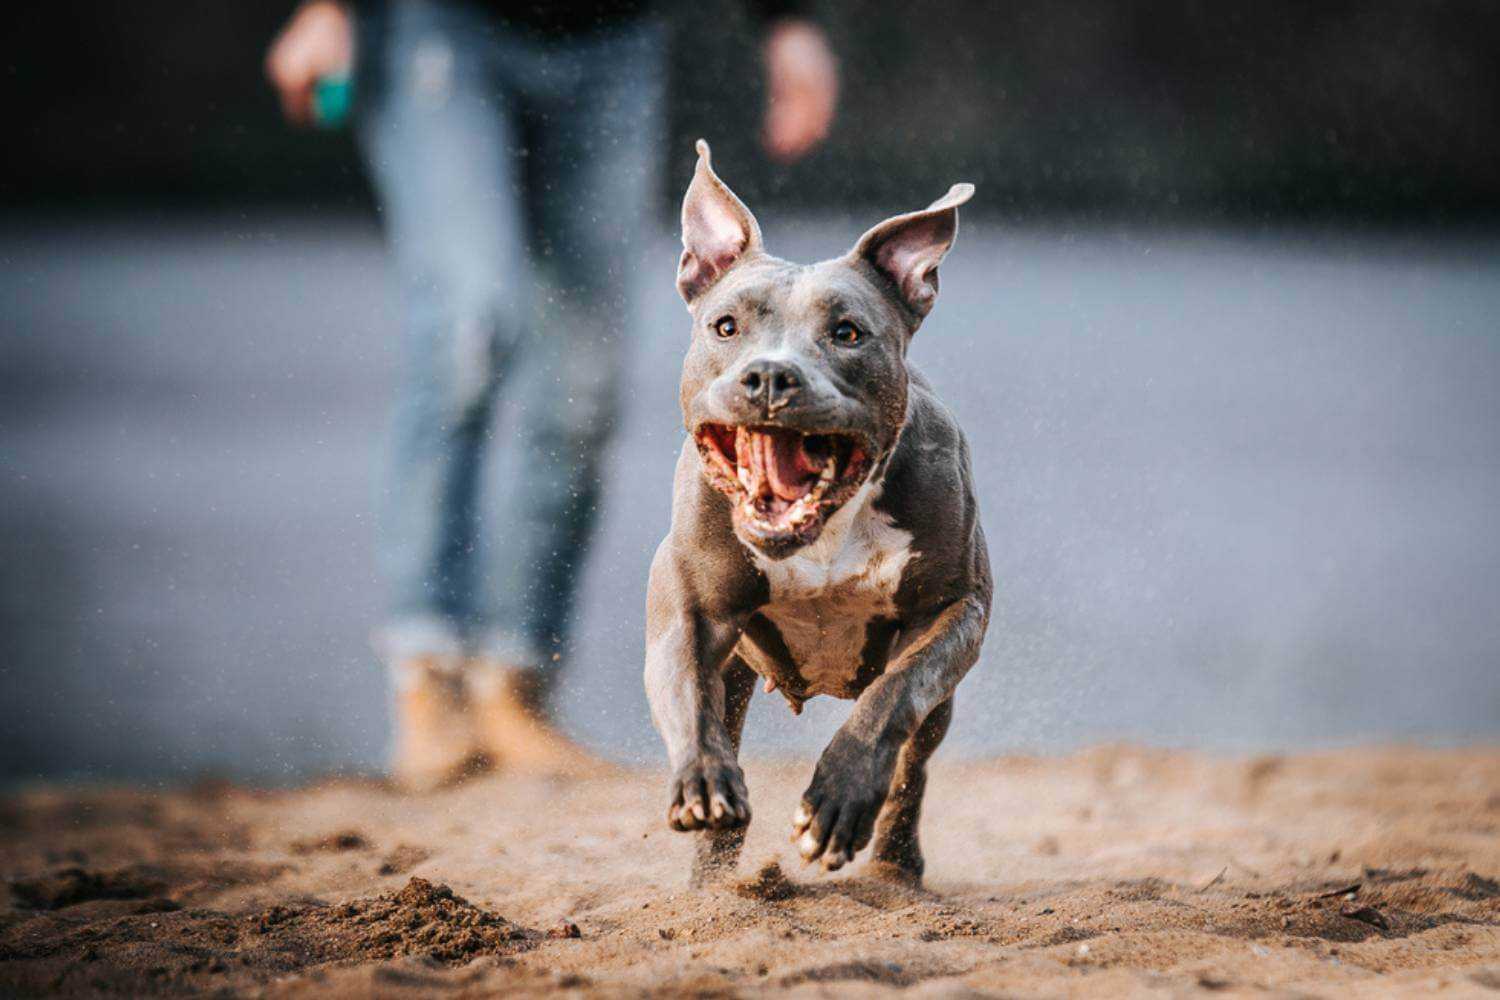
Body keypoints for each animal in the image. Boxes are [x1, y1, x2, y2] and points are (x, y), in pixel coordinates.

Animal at [639, 138, 990, 881]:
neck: (824, 530)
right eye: (726, 326)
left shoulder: (955, 608)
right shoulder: (688, 608)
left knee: (915, 761)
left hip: (939, 705)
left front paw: (839, 803)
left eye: (849, 333)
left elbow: (893, 699)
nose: (772, 375)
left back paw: (895, 865)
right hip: (738, 671)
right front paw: (703, 781)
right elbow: (687, 693)